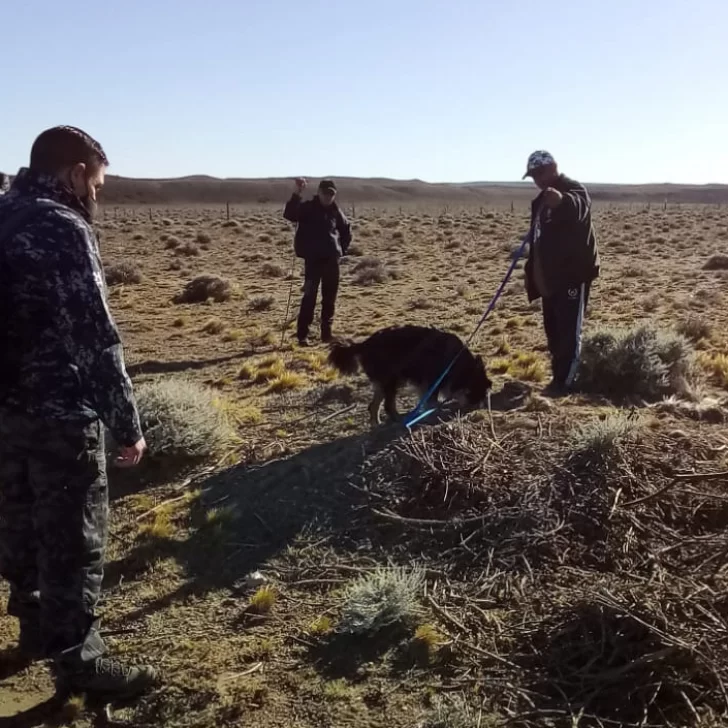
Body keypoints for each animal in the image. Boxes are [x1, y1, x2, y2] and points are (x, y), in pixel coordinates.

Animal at [328, 326, 490, 426]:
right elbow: (432, 400)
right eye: (477, 390)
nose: (478, 407)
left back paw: (377, 424)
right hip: (391, 380)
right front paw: (435, 411)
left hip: (384, 382)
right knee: (388, 405)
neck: (457, 362)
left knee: (374, 405)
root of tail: (364, 344)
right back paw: (398, 419)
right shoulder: (432, 379)